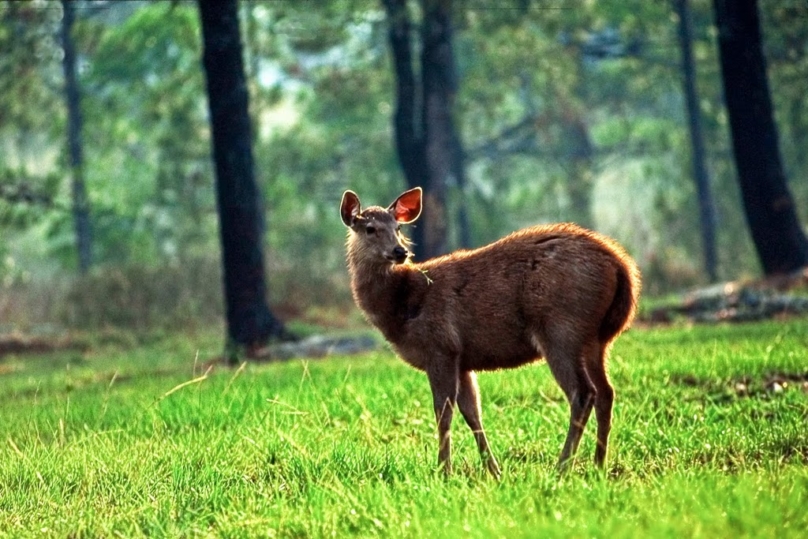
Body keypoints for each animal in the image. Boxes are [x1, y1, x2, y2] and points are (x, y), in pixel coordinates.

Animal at [338, 188, 640, 478]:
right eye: (370, 229)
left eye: (398, 227)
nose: (400, 251)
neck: (403, 306)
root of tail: (623, 267)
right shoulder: (461, 359)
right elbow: (472, 412)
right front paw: (493, 470)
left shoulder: (440, 346)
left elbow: (442, 412)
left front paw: (443, 471)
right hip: (596, 339)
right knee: (606, 392)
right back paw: (599, 465)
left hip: (562, 328)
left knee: (583, 392)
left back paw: (563, 466)